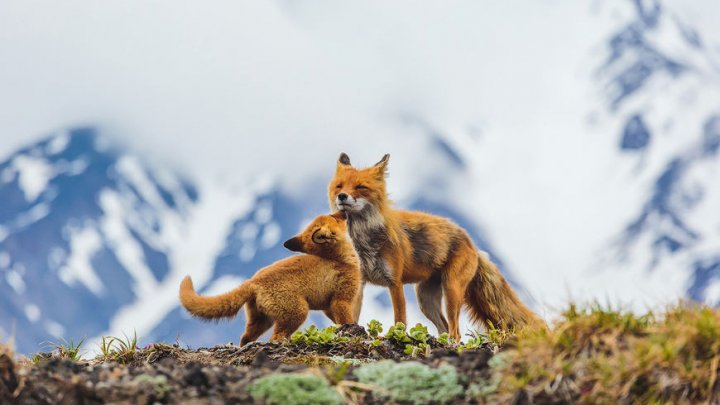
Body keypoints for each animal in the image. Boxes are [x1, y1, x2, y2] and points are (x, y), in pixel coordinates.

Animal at [179, 211, 360, 344]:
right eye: (334, 217)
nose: (343, 210)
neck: (338, 259)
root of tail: (253, 280)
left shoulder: (328, 306)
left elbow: (339, 321)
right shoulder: (341, 299)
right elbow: (346, 320)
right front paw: (352, 331)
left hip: (262, 320)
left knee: (245, 338)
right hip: (298, 313)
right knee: (276, 337)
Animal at [330, 153, 544, 340]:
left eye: (360, 187)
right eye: (339, 186)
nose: (342, 196)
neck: (364, 240)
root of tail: (471, 242)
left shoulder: (395, 282)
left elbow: (400, 320)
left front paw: (395, 336)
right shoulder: (360, 282)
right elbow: (352, 315)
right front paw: (350, 331)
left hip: (451, 291)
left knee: (455, 332)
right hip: (426, 301)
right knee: (445, 327)